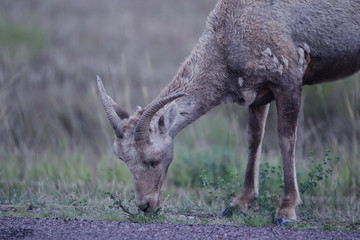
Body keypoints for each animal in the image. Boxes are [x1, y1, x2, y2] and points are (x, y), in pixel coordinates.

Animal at [96, 0, 360, 224]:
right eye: (123, 159)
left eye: (154, 159)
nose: (146, 205)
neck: (229, 38)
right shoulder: (258, 92)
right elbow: (254, 140)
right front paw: (237, 204)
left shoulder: (289, 79)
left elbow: (287, 140)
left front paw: (286, 211)